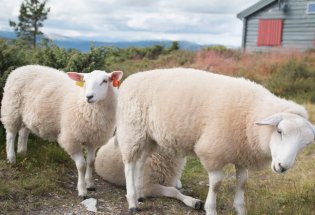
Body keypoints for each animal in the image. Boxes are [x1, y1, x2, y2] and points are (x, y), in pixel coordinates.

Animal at [0, 64, 123, 198]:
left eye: (105, 81)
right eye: (84, 81)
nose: (89, 97)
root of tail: (21, 68)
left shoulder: (93, 139)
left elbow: (91, 162)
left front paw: (90, 184)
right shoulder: (71, 138)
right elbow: (82, 165)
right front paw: (82, 190)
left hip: (26, 115)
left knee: (23, 132)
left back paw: (22, 152)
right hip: (12, 109)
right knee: (11, 134)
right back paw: (11, 158)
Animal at [115, 68, 315, 215]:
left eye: (304, 144)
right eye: (280, 131)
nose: (282, 167)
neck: (250, 116)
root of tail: (131, 78)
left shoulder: (242, 154)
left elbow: (242, 182)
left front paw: (240, 209)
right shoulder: (212, 152)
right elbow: (217, 183)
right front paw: (210, 208)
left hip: (149, 136)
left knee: (141, 161)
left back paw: (141, 194)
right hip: (132, 130)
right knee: (129, 164)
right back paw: (132, 201)